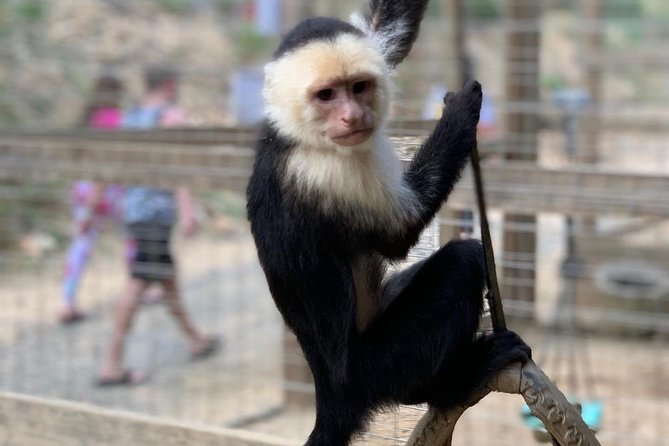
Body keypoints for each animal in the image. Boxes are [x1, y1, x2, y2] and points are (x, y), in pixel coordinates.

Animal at [246, 1, 531, 445]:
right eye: (326, 96)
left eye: (358, 87)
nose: (351, 116)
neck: (297, 136)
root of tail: (332, 397)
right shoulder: (325, 172)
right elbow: (401, 234)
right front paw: (461, 112)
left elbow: (386, 32)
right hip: (378, 369)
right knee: (464, 259)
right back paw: (455, 383)